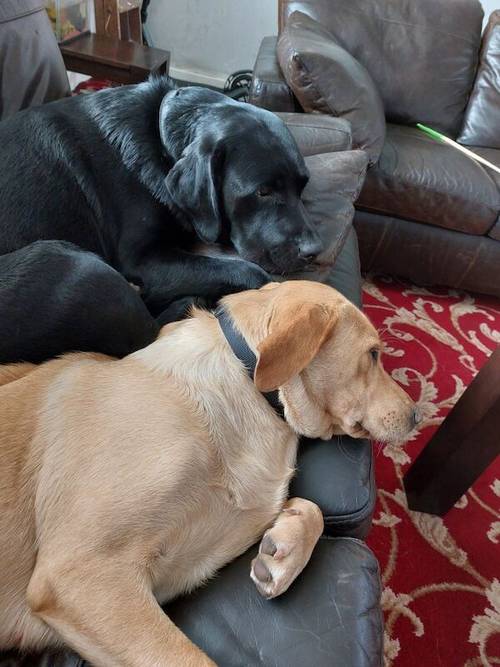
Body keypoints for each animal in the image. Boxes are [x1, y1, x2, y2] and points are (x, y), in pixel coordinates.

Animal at [0, 77, 328, 366]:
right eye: (263, 191)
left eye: (302, 186)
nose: (314, 251)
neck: (161, 140)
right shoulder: (143, 259)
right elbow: (252, 273)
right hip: (75, 263)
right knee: (145, 333)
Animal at [0, 280, 416, 664]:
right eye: (373, 354)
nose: (417, 415)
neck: (248, 385)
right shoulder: (82, 572)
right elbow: (193, 658)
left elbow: (313, 509)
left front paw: (284, 549)